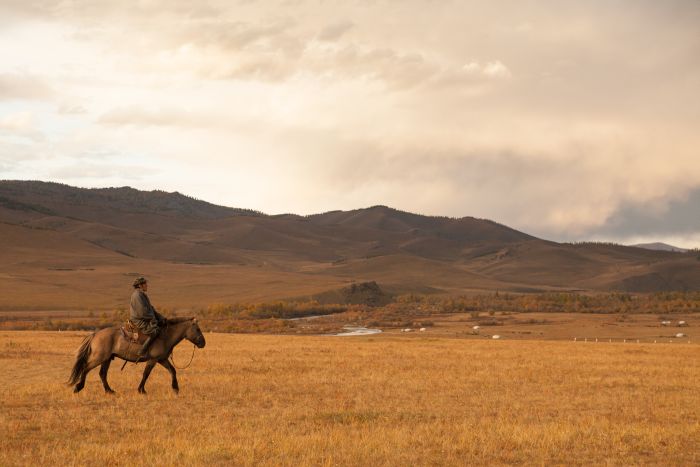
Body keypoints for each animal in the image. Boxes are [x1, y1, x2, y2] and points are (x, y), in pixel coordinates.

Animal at [67, 318, 205, 394]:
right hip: (99, 358)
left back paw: (109, 391)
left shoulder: (162, 359)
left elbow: (173, 371)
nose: (203, 343)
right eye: (197, 329)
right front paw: (141, 390)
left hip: (107, 359)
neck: (165, 336)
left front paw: (175, 388)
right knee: (86, 368)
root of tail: (95, 334)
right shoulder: (153, 360)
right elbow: (146, 374)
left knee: (102, 374)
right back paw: (78, 387)